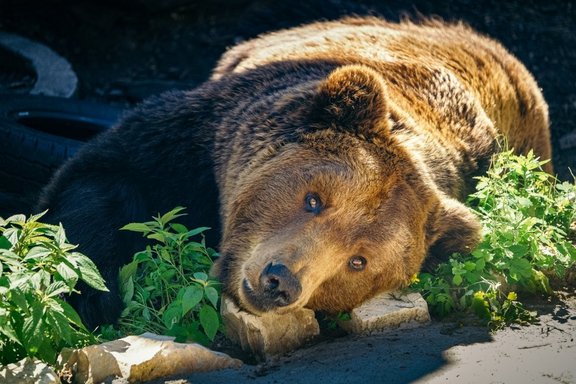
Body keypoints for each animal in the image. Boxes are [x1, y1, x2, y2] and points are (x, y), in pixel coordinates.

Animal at [37, 17, 552, 328]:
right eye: (314, 198)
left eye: (359, 261)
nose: (279, 280)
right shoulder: (196, 142)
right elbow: (103, 176)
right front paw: (91, 296)